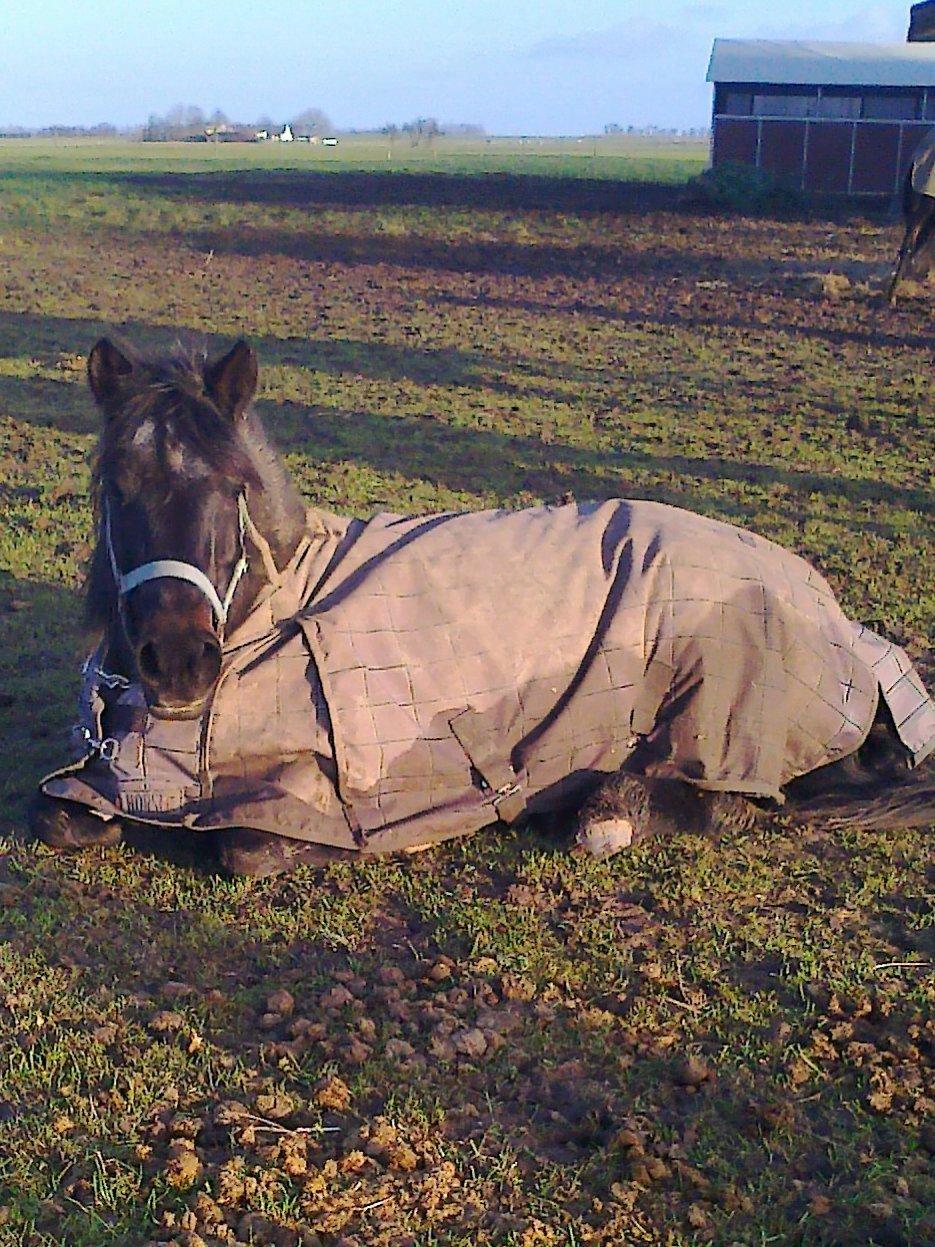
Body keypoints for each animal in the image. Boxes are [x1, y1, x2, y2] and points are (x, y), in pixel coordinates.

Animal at [29, 334, 935, 877]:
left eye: (231, 487)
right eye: (117, 485)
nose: (180, 662)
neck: (282, 607)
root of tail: (836, 618)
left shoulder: (307, 806)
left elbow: (243, 848)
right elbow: (60, 819)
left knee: (733, 795)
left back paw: (604, 810)